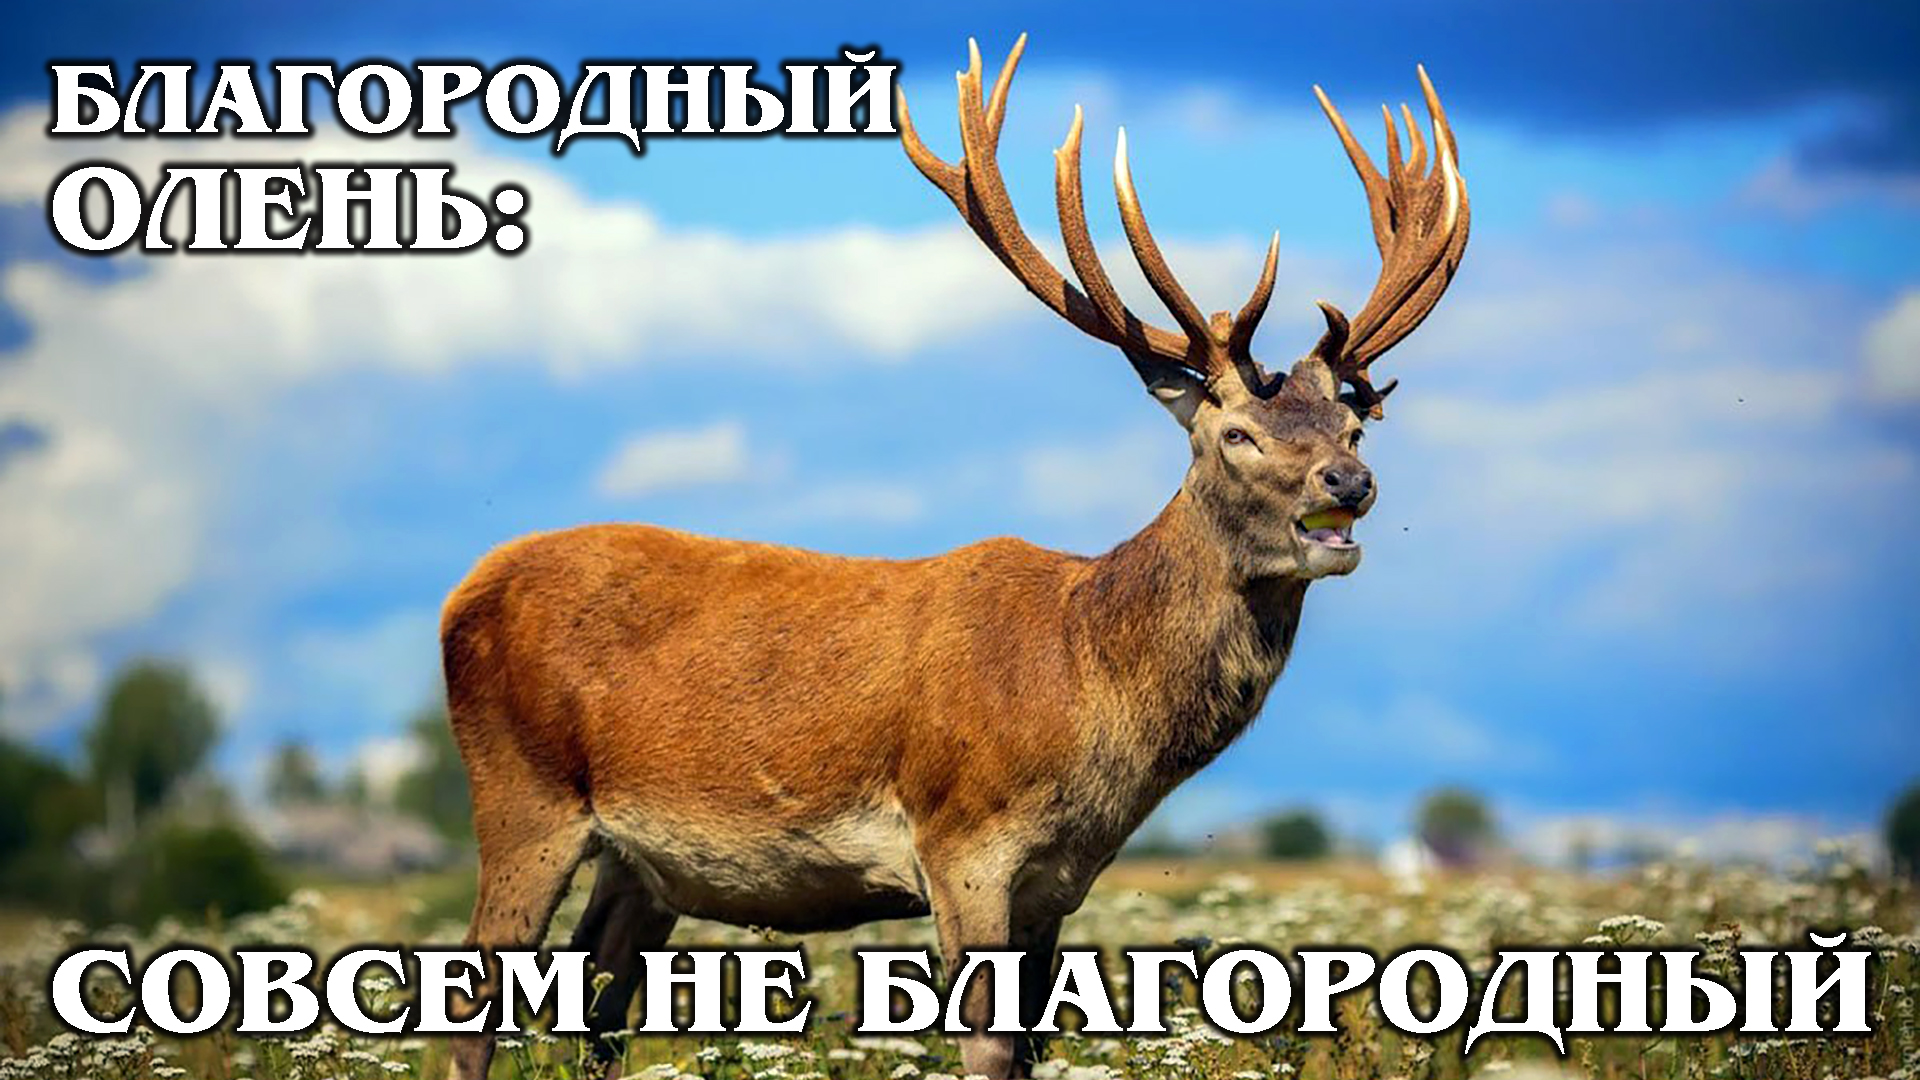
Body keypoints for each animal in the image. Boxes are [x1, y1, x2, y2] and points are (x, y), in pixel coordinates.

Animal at [440, 35, 1468, 1080]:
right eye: (1237, 435)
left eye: (1353, 427)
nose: (1350, 483)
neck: (1087, 686)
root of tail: (465, 588)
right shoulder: (961, 837)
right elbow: (986, 1041)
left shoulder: (1059, 880)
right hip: (522, 792)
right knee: (475, 1001)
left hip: (640, 863)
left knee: (597, 1007)